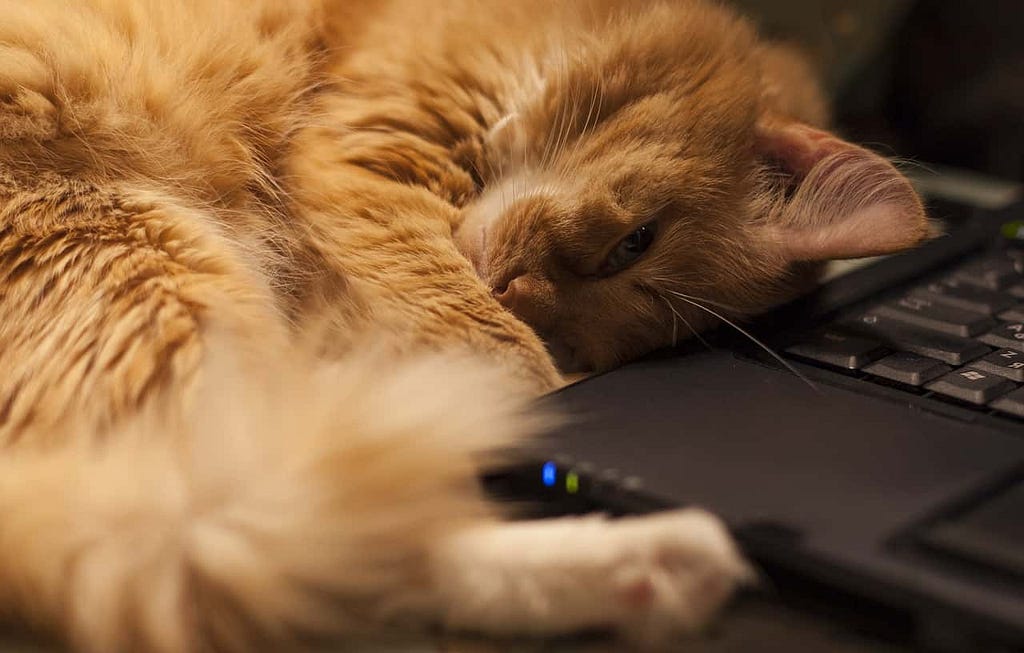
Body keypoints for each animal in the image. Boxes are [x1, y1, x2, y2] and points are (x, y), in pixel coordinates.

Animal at [0, 1, 929, 653]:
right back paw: (664, 554)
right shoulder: (376, 155)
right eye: (632, 244)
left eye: (605, 345)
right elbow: (504, 362)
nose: (517, 290)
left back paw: (655, 572)